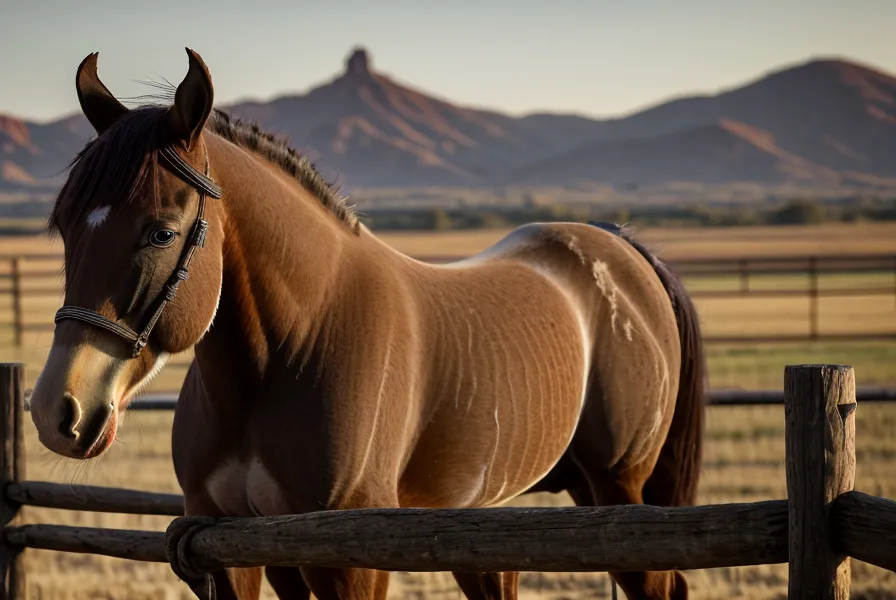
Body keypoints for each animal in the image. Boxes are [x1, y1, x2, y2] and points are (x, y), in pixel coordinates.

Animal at [28, 48, 706, 600]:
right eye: (63, 226)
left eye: (161, 232)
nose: (59, 411)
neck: (290, 351)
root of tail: (620, 247)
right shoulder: (234, 551)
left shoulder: (347, 560)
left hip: (617, 486)